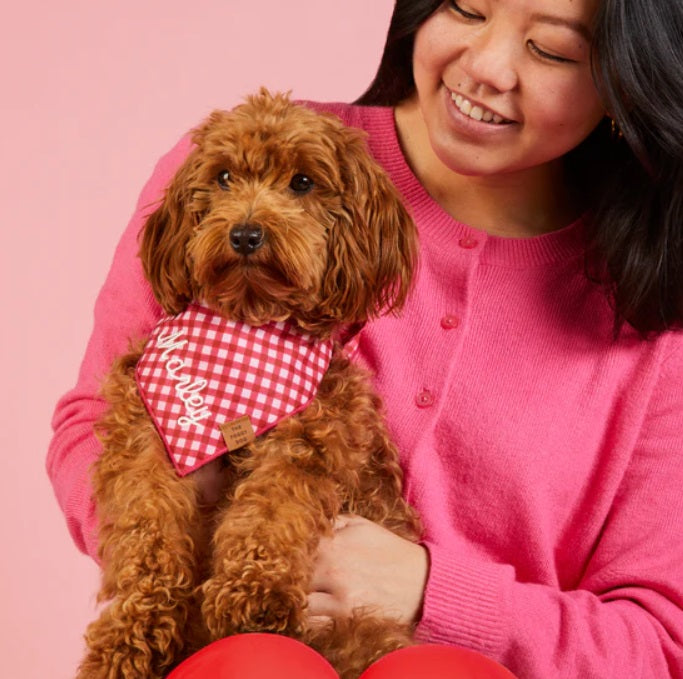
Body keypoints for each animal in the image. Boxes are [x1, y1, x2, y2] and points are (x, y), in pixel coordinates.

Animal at [80, 90, 422, 679]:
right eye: (222, 177)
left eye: (302, 182)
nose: (244, 234)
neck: (244, 331)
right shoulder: (146, 437)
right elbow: (146, 531)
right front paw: (132, 632)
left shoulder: (307, 444)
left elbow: (270, 515)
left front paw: (254, 596)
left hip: (362, 635)